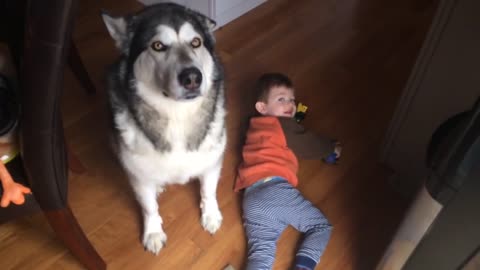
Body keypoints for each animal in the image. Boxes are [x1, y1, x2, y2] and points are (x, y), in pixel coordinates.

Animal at [100, 3, 227, 254]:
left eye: (195, 42)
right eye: (158, 46)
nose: (192, 77)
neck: (177, 114)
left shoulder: (212, 160)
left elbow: (208, 190)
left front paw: (210, 214)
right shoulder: (138, 175)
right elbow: (149, 207)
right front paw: (153, 232)